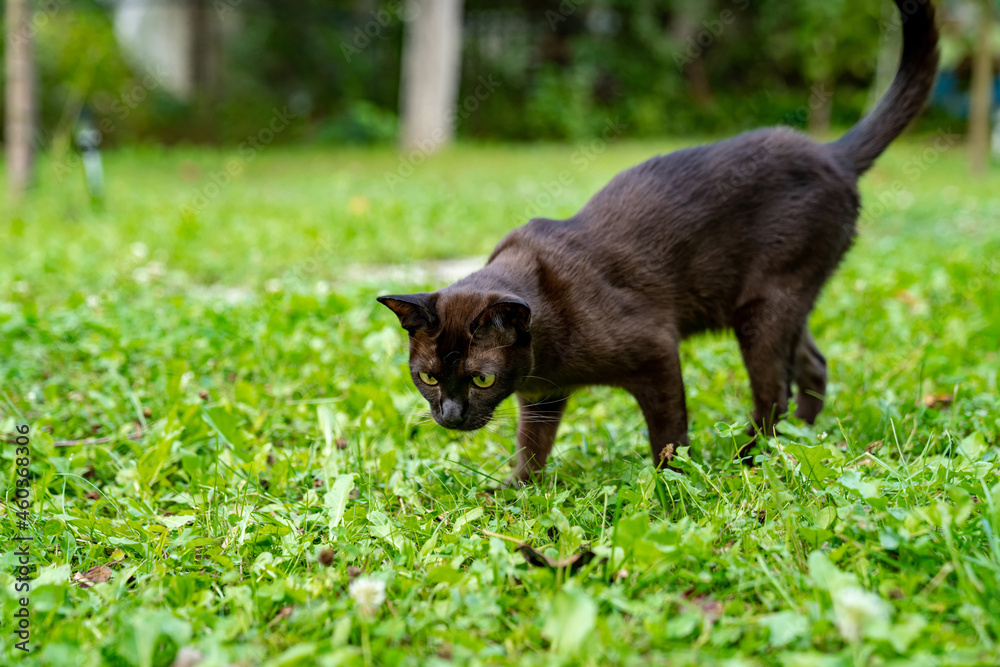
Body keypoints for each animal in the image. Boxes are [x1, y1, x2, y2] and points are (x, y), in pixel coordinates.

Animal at [378, 0, 940, 482]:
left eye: (481, 379)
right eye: (428, 377)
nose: (451, 416)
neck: (547, 339)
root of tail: (832, 153)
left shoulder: (656, 353)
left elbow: (668, 434)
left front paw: (671, 488)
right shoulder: (542, 395)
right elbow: (531, 445)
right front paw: (517, 491)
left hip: (764, 310)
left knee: (773, 393)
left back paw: (750, 457)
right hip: (773, 306)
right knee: (814, 367)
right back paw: (800, 443)